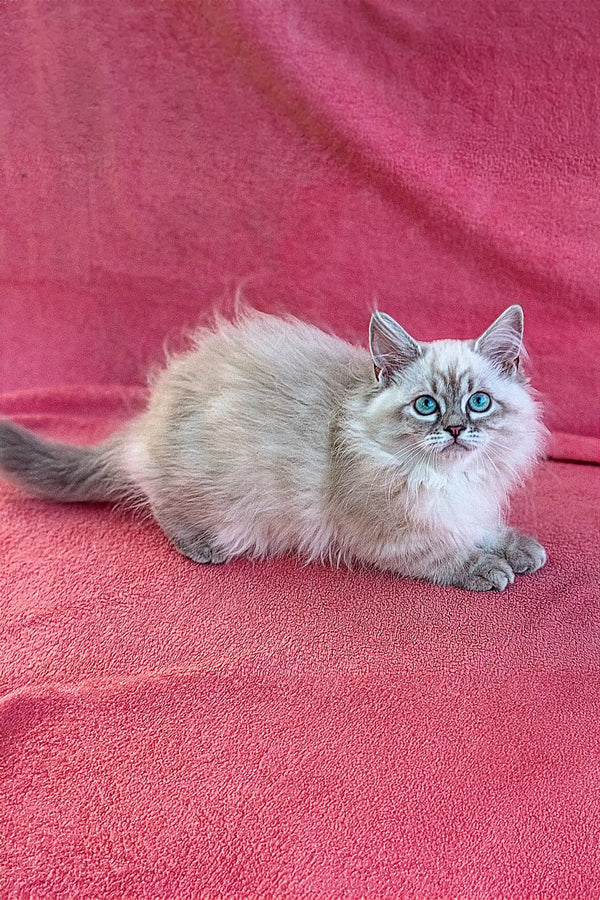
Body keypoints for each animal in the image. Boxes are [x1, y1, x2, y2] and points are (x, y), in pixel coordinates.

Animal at [0, 310, 548, 592]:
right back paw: (200, 547)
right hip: (225, 508)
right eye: (426, 406)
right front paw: (488, 568)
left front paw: (519, 548)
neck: (448, 479)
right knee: (158, 501)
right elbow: (447, 553)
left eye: (478, 403)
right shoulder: (392, 536)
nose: (455, 429)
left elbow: (485, 527)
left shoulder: (470, 507)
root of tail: (148, 422)